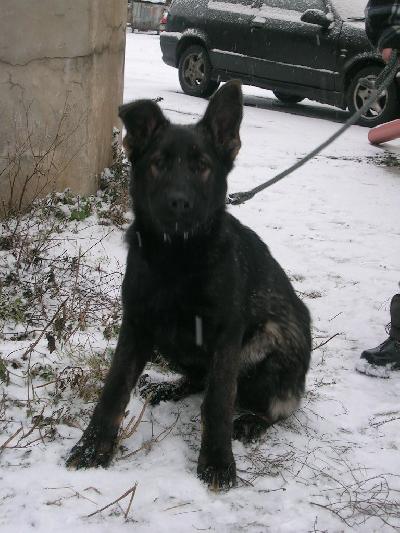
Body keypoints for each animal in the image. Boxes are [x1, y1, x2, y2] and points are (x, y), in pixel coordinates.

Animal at [66, 81, 311, 490]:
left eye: (202, 167)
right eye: (158, 163)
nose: (178, 204)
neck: (176, 259)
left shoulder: (227, 339)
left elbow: (218, 403)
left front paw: (217, 462)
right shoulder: (136, 326)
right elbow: (114, 388)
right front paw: (92, 447)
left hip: (267, 341)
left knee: (276, 406)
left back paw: (251, 422)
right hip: (170, 341)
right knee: (198, 378)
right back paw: (169, 387)